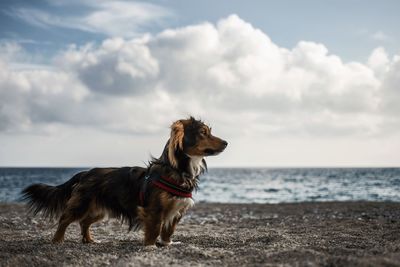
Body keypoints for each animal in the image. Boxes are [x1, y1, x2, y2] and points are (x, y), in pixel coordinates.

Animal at [21, 117, 228, 247]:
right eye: (203, 132)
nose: (227, 143)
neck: (177, 170)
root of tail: (86, 172)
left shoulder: (177, 211)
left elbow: (168, 231)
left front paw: (167, 244)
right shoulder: (154, 211)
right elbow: (154, 230)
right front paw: (150, 247)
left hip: (99, 209)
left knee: (84, 222)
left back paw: (89, 240)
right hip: (82, 204)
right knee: (65, 219)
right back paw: (57, 240)